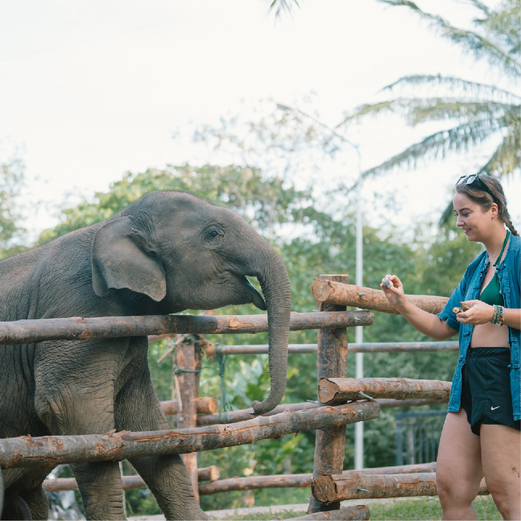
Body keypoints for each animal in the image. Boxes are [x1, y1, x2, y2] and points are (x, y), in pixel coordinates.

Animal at [0, 189, 290, 516]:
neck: (116, 221)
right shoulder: (75, 315)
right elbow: (71, 409)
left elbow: (143, 419)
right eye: (214, 234)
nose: (255, 406)